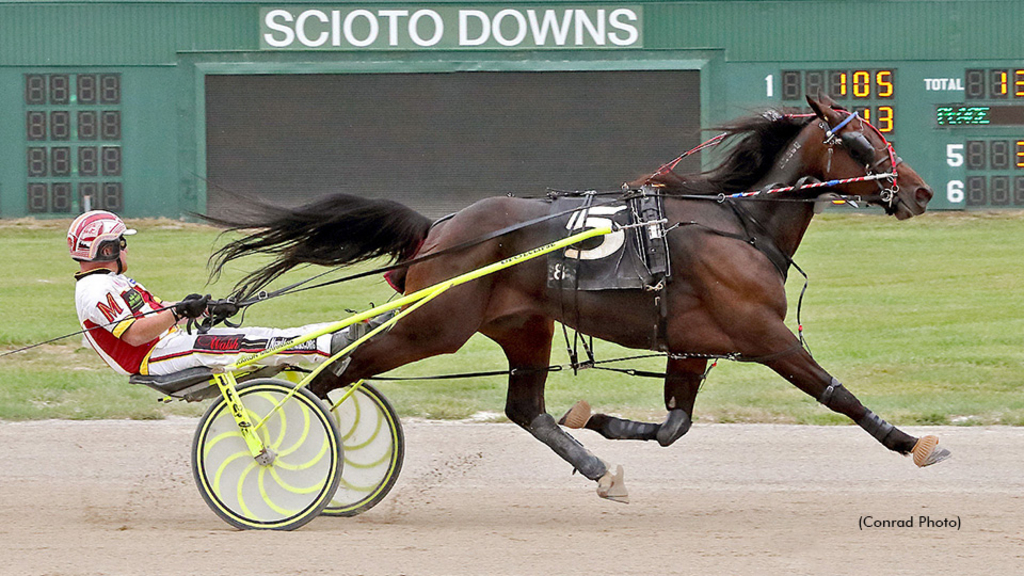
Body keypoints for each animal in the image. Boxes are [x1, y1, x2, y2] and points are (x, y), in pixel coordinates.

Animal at [209, 95, 950, 502]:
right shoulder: (762, 334)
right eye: (863, 141)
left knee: (525, 408)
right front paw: (912, 442)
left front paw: (601, 422)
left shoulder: (691, 342)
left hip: (522, 326)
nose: (919, 191)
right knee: (331, 372)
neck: (739, 222)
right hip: (430, 327)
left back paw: (597, 468)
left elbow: (674, 424)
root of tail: (438, 228)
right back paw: (277, 444)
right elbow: (836, 394)